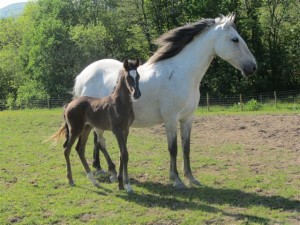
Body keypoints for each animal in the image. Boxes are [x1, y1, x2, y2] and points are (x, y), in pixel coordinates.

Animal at [74, 12, 256, 188]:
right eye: (235, 39)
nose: (253, 67)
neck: (180, 73)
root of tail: (83, 75)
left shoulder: (188, 118)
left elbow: (186, 147)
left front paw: (191, 178)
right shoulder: (171, 119)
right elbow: (173, 148)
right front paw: (176, 179)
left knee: (98, 142)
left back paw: (101, 169)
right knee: (101, 142)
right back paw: (111, 172)